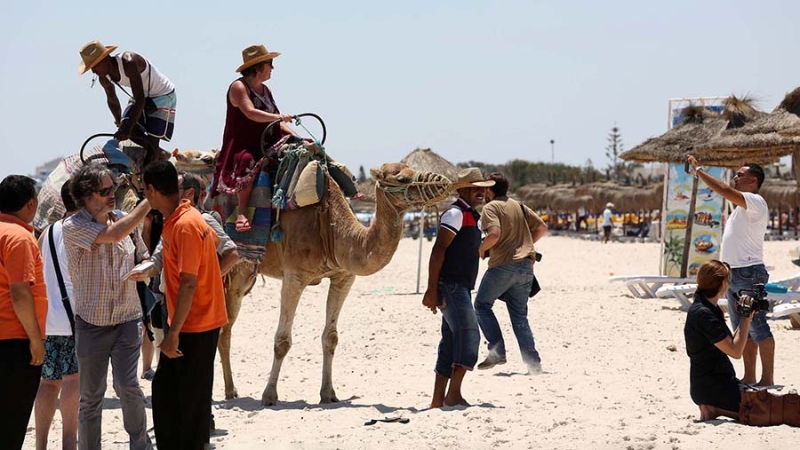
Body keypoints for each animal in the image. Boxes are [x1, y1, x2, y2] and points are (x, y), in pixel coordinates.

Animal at [220, 163, 456, 406]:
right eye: (401, 178)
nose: (442, 182)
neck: (333, 228)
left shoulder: (343, 278)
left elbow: (330, 337)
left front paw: (328, 394)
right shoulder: (294, 277)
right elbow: (282, 341)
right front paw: (269, 395)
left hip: (241, 276)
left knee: (225, 330)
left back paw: (231, 391)